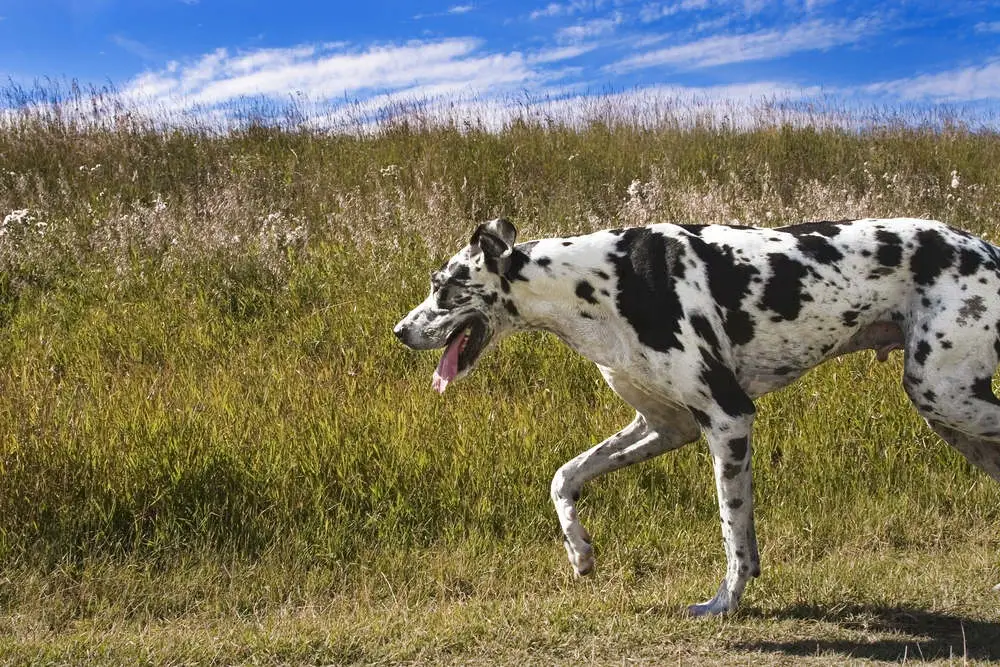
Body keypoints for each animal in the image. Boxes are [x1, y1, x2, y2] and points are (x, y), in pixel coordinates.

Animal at [392, 218, 1000, 616]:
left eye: (445, 288)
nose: (398, 332)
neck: (590, 282)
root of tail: (989, 248)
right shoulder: (668, 426)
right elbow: (564, 476)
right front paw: (580, 552)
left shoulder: (727, 418)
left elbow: (734, 533)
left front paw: (725, 603)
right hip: (950, 415)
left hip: (943, 395)